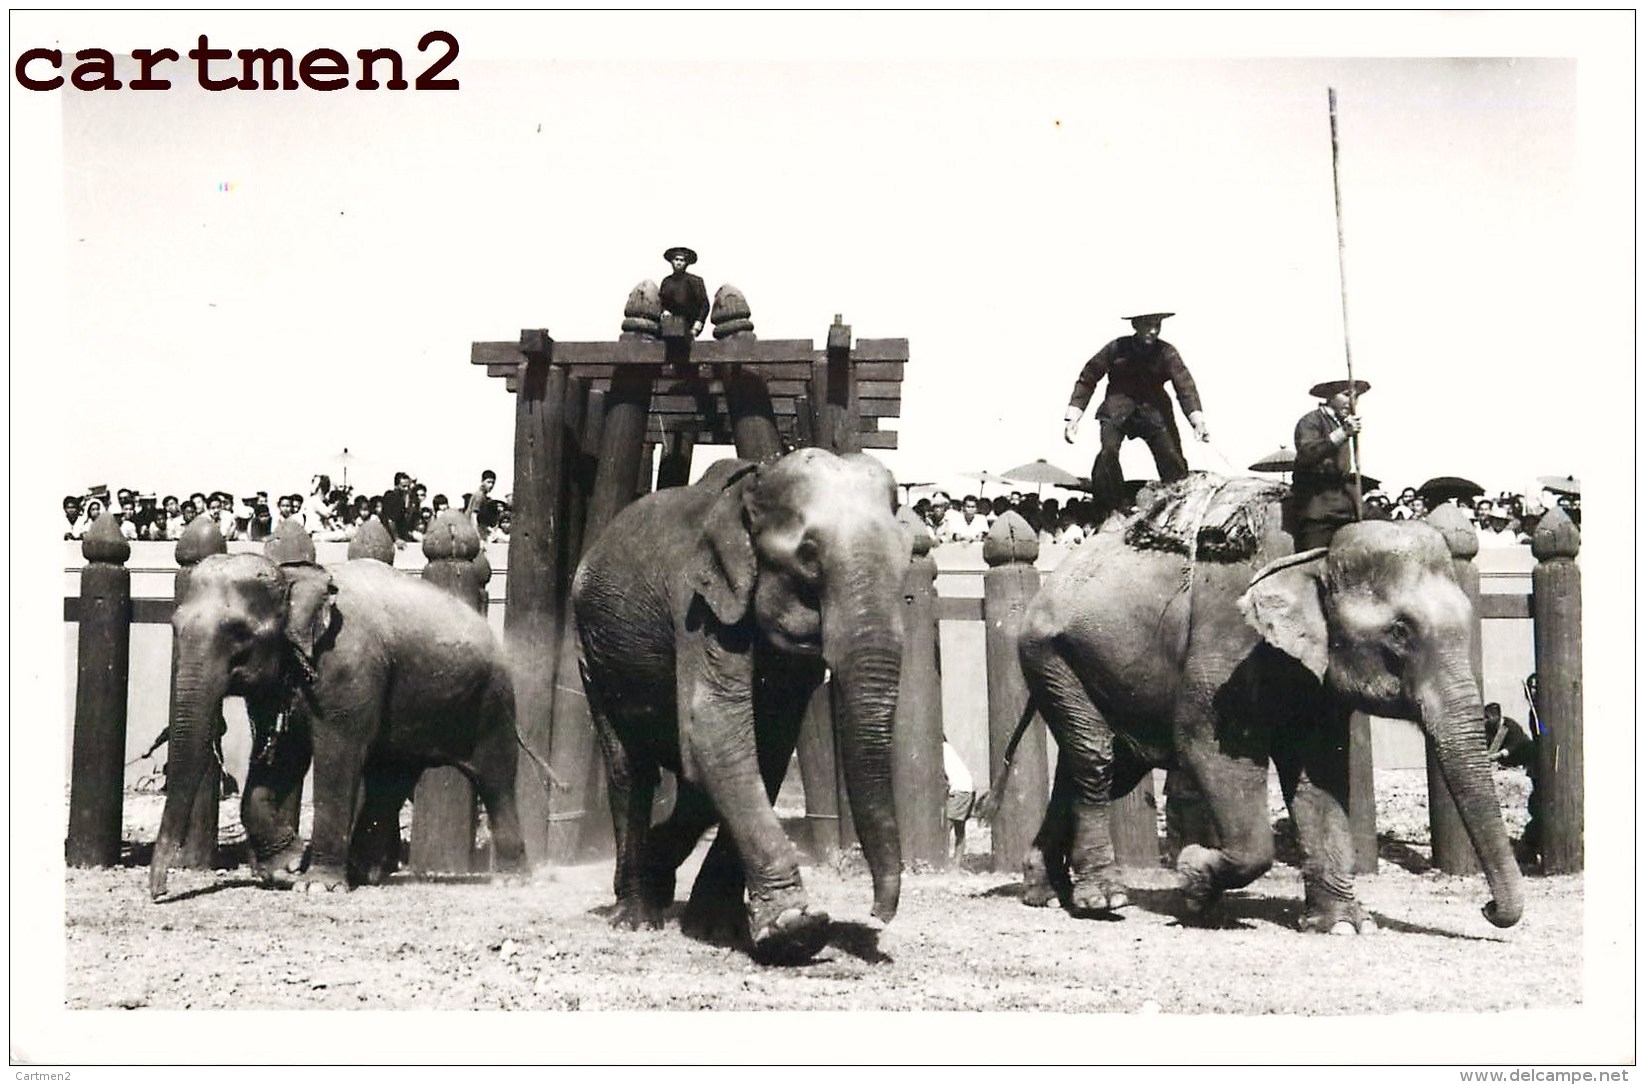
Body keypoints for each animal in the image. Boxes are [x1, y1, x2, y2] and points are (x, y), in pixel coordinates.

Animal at [150, 552, 526, 900]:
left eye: (239, 632)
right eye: (174, 626)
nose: (159, 892)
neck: (292, 577)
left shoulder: (347, 666)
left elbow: (336, 755)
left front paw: (316, 885)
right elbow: (281, 756)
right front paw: (288, 867)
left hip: (493, 703)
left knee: (496, 779)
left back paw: (510, 879)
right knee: (390, 779)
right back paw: (364, 873)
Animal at [572, 443, 914, 960]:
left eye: (910, 555)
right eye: (808, 558)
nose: (878, 914)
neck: (754, 487)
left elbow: (762, 748)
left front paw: (719, 928)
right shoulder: (698, 604)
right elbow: (714, 729)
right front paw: (796, 929)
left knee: (694, 785)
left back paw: (658, 880)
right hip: (591, 651)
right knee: (630, 770)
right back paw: (637, 916)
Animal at [1013, 473, 1526, 933]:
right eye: (1399, 631)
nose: (1486, 909)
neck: (1316, 553)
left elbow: (1320, 768)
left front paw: (1343, 925)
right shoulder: (1227, 639)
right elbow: (1207, 746)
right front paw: (1194, 878)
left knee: (1108, 764)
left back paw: (1044, 891)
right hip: (1050, 654)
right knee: (1096, 758)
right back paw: (1103, 899)